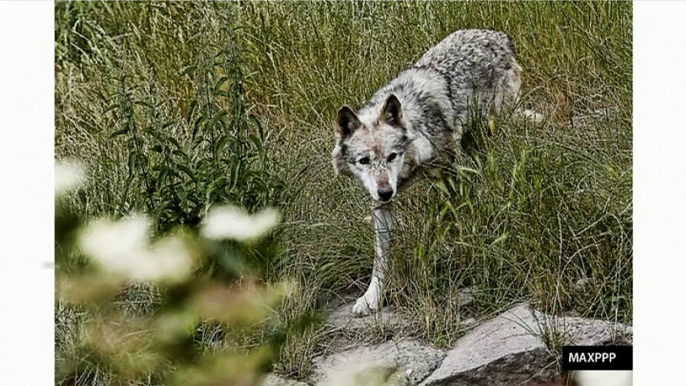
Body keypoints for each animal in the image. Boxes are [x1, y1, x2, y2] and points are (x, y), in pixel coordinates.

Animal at [332, 29, 544, 314]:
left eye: (392, 156)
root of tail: (498, 34)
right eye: (364, 161)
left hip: (492, 130)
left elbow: (459, 215)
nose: (386, 191)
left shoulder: (451, 172)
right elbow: (381, 256)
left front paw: (464, 246)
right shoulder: (380, 204)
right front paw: (371, 297)